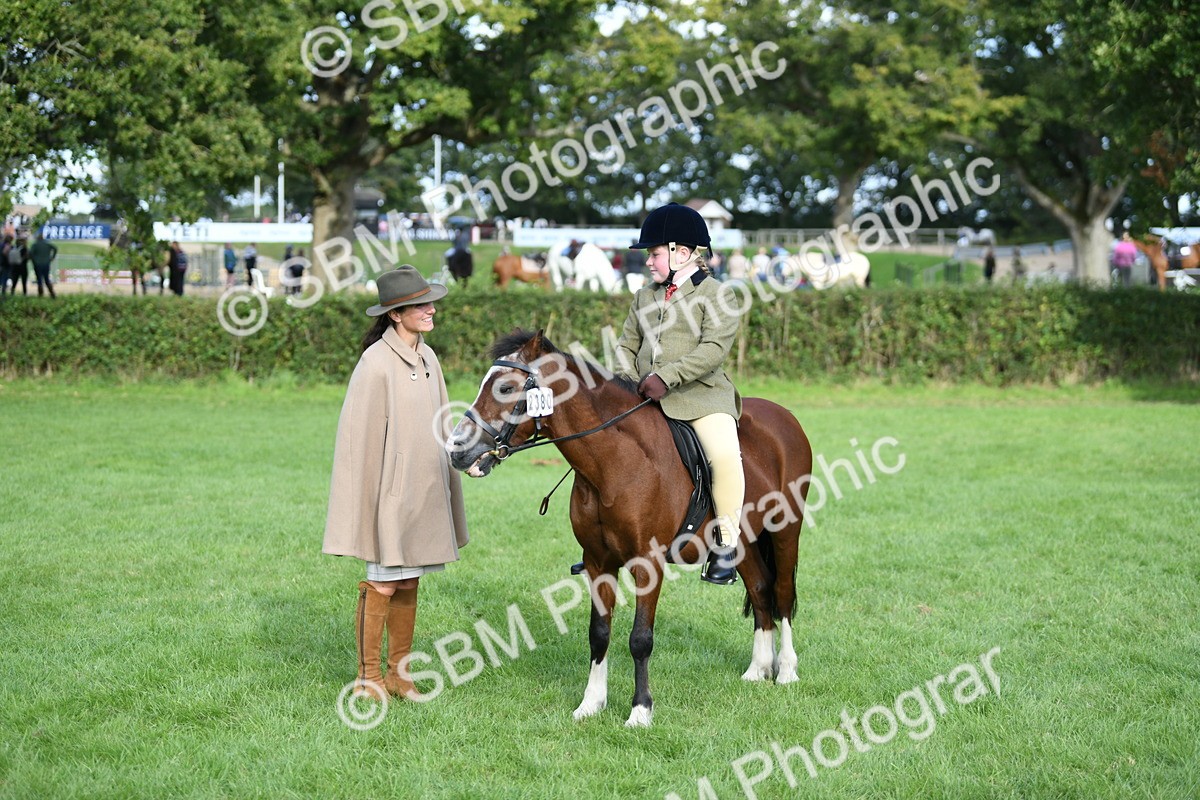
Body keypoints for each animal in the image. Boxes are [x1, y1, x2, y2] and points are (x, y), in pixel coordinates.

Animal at [447, 330, 813, 727]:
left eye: (506, 388)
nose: (457, 450)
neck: (617, 462)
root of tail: (785, 417)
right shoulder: (598, 562)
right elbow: (598, 633)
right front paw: (591, 704)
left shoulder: (647, 563)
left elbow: (640, 638)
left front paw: (640, 711)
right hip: (743, 542)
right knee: (760, 589)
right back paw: (758, 669)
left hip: (786, 529)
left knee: (781, 593)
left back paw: (786, 671)